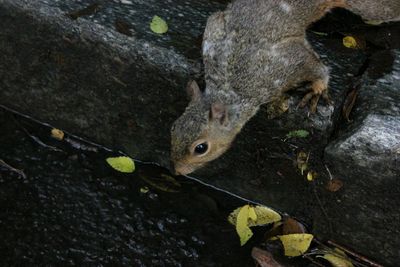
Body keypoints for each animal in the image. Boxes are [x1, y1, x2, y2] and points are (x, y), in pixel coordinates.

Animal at [170, 0, 400, 176]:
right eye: (173, 128)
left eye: (201, 148)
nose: (178, 171)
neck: (228, 89)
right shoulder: (215, 27)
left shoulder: (279, 68)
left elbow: (313, 65)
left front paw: (317, 88)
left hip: (373, 10)